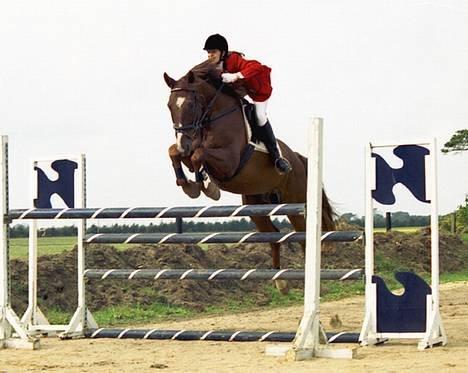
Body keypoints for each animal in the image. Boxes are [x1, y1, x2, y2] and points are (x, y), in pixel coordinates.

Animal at [163, 61, 334, 294]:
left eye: (190, 104)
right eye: (170, 106)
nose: (183, 142)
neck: (214, 117)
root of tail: (298, 158)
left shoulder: (229, 162)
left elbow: (199, 154)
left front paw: (205, 187)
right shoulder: (191, 150)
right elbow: (177, 153)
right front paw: (191, 184)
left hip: (295, 201)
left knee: (303, 237)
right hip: (255, 206)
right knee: (273, 235)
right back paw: (280, 282)